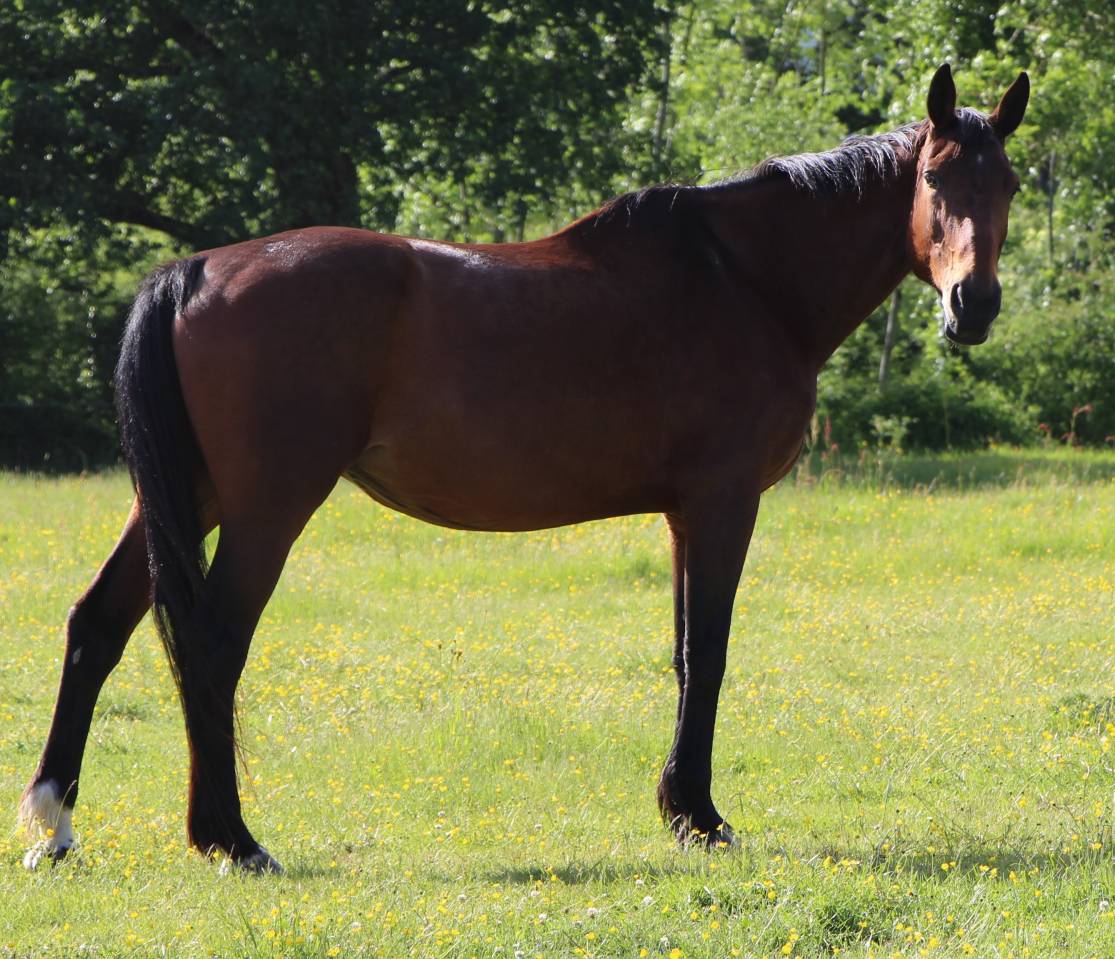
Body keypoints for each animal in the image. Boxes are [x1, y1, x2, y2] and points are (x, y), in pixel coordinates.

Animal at [20, 65, 1029, 872]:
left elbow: (682, 650)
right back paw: (229, 837)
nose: (972, 305)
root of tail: (194, 270)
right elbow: (707, 652)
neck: (744, 278)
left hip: (182, 496)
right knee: (213, 643)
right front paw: (699, 816)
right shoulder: (721, 502)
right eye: (933, 176)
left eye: (1009, 181)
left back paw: (55, 823)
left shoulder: (681, 513)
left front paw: (679, 808)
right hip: (267, 507)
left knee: (98, 624)